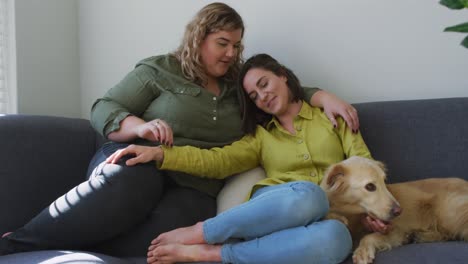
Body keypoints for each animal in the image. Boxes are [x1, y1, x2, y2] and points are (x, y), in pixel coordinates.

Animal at [320, 157, 468, 264]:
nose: (399, 211)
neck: (352, 214)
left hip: (447, 212)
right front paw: (336, 217)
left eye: (384, 182)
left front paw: (362, 251)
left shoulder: (396, 230)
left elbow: (369, 236)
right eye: (370, 186)